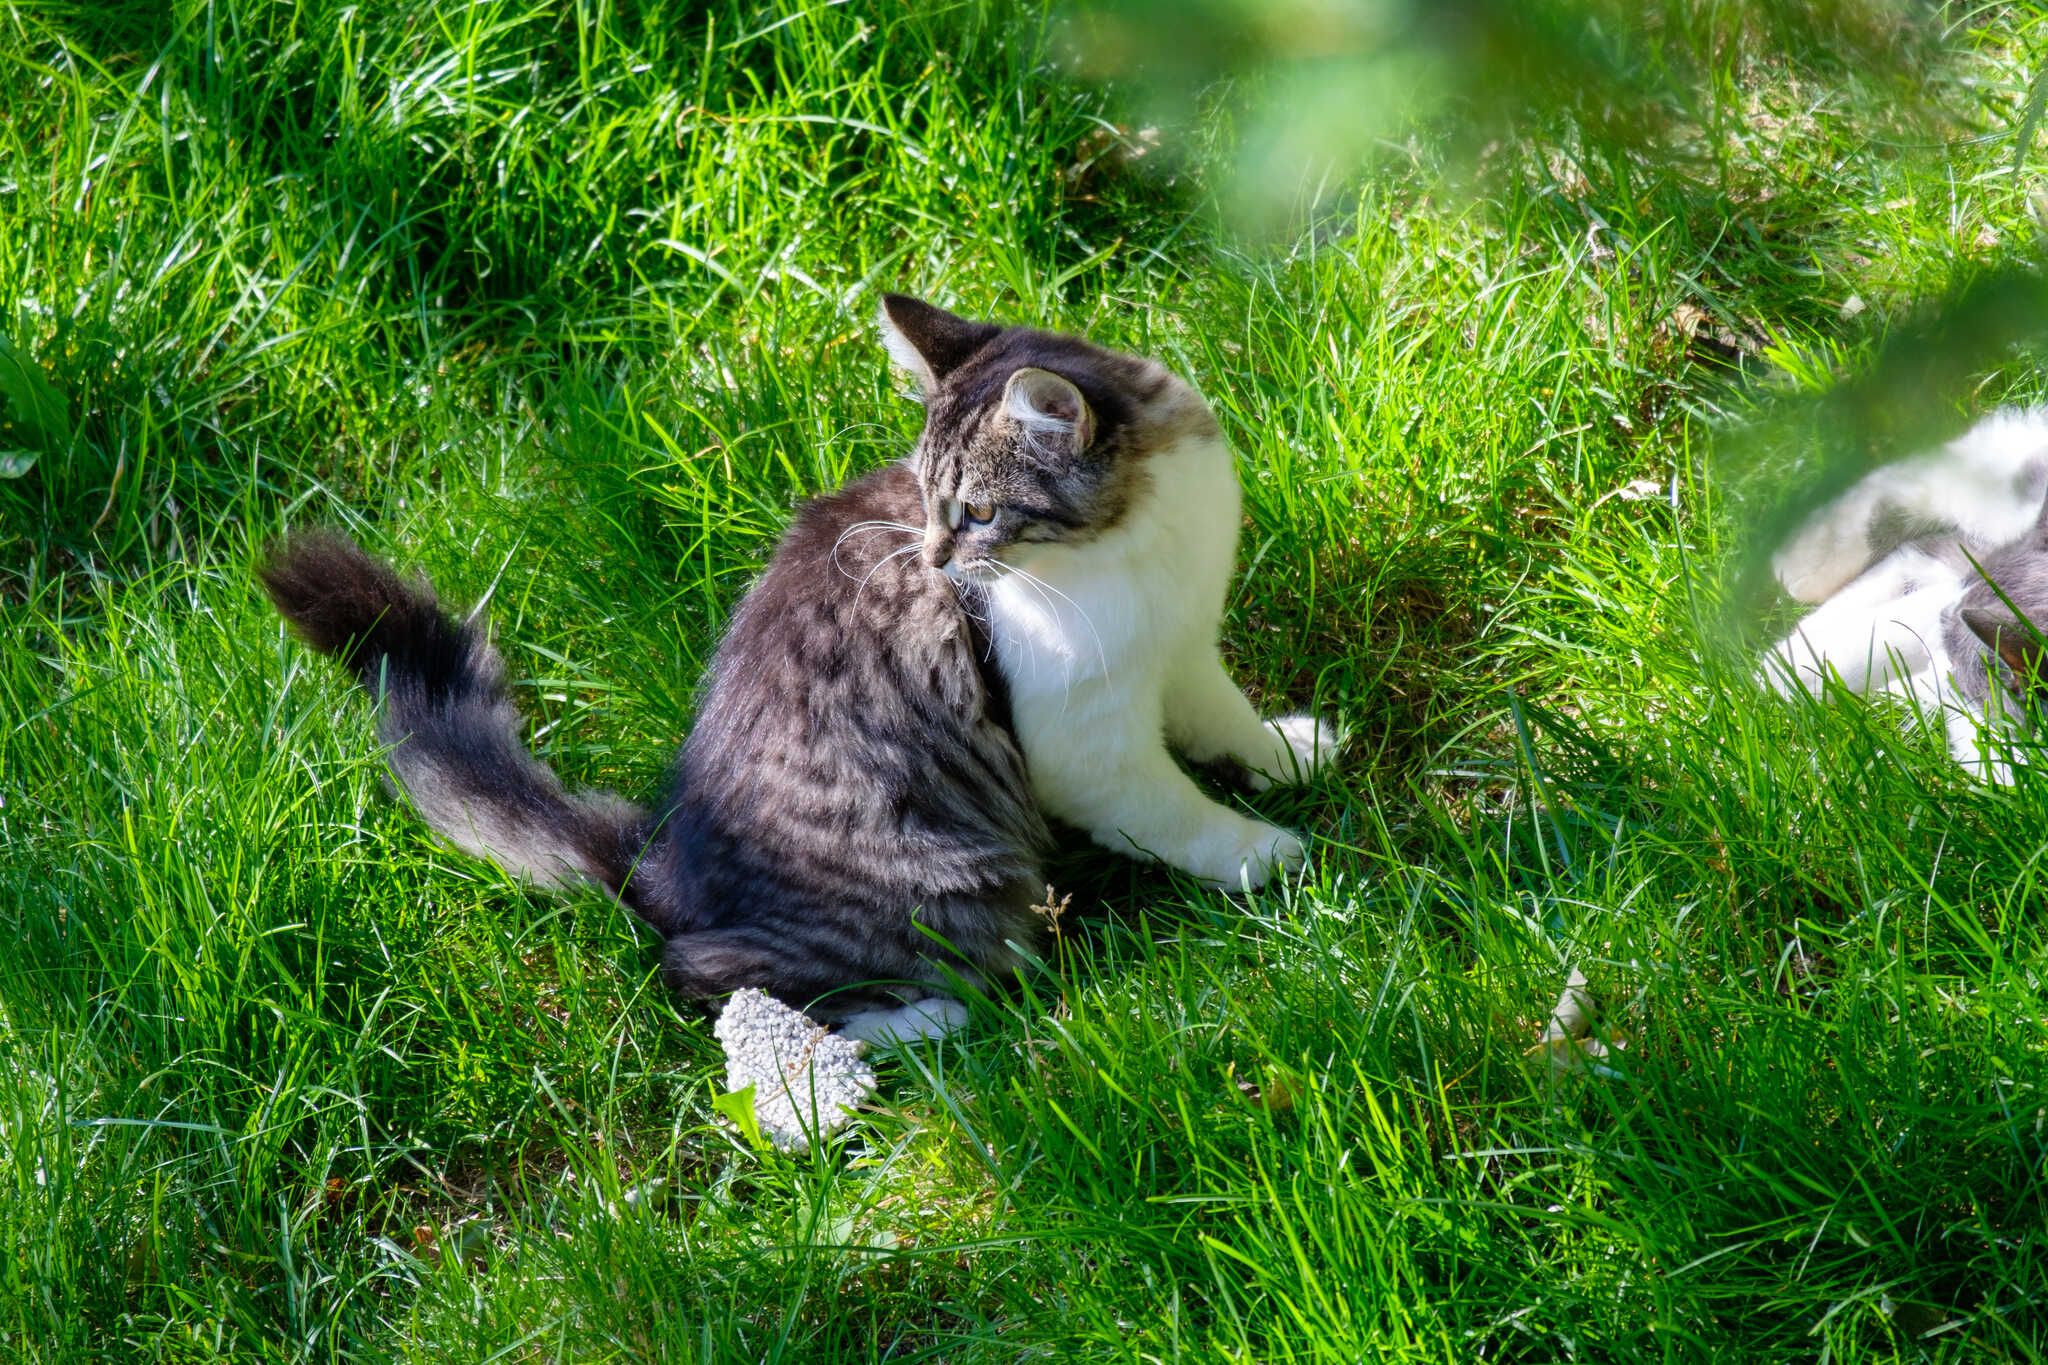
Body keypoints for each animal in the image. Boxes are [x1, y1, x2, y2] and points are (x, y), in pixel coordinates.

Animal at [260, 294, 1343, 1039]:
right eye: (933, 503)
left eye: (977, 512)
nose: (937, 562)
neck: (1136, 539)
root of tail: (658, 862)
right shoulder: (1085, 739)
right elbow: (1176, 811)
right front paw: (1260, 853)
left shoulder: (1184, 645)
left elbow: (1226, 721)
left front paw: (1291, 755)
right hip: (954, 877)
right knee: (729, 979)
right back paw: (921, 1022)